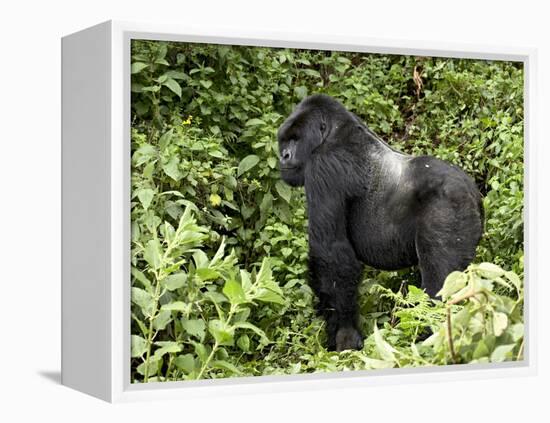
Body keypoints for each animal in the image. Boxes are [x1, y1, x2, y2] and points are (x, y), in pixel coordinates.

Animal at [278, 94, 486, 352]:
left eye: (296, 139)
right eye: (284, 140)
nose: (284, 155)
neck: (335, 132)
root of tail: (473, 193)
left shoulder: (324, 167)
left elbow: (331, 253)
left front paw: (345, 336)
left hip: (450, 208)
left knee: (440, 282)